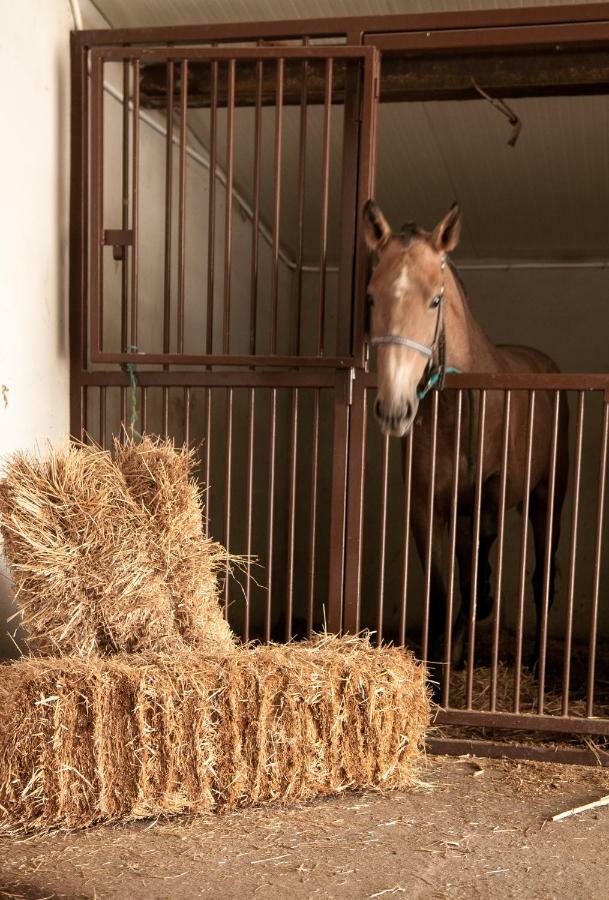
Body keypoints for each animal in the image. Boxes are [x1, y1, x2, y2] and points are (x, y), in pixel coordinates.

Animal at [364, 202, 568, 668]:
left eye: (435, 299)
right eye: (371, 297)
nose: (395, 409)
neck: (454, 415)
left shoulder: (484, 502)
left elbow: (473, 586)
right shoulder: (427, 509)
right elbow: (443, 596)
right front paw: (440, 665)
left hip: (546, 499)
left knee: (541, 577)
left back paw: (536, 661)